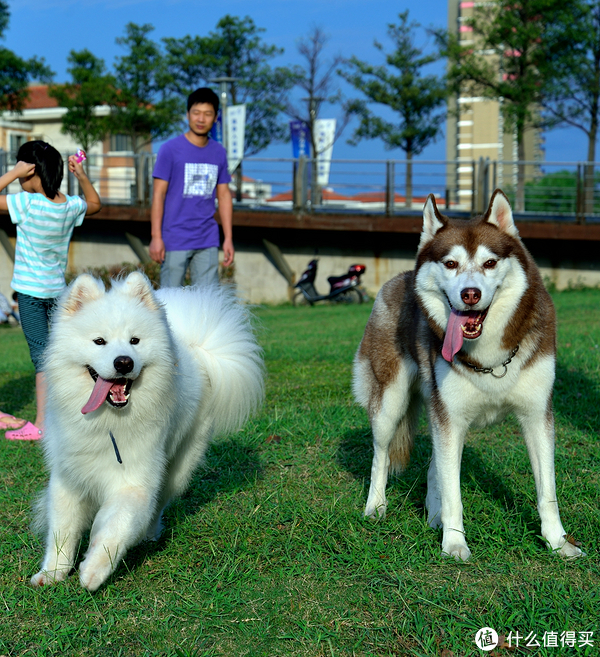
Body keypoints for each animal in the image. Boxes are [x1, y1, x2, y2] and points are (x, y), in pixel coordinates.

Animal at [30, 272, 264, 588]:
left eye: (134, 341)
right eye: (99, 341)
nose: (123, 362)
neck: (108, 422)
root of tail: (194, 349)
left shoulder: (134, 481)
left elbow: (117, 526)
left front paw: (93, 570)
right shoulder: (68, 480)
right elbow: (62, 531)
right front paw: (52, 573)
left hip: (177, 467)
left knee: (158, 504)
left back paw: (149, 535)